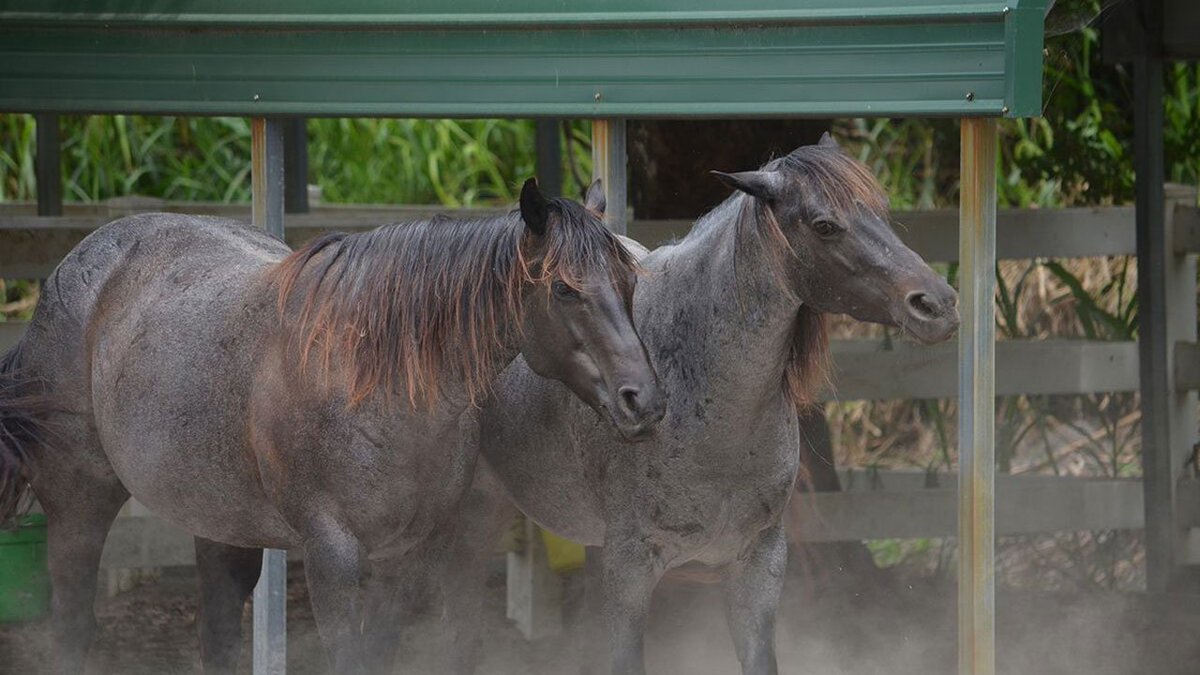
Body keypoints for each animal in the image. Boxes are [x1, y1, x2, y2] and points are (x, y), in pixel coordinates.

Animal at [0, 178, 665, 675]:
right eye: (565, 289)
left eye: (630, 280)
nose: (645, 401)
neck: (377, 384)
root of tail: (77, 266)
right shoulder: (333, 557)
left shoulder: (407, 558)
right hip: (80, 499)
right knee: (73, 625)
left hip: (219, 522)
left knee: (216, 633)